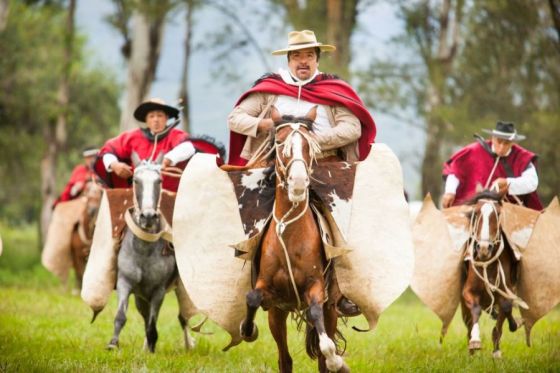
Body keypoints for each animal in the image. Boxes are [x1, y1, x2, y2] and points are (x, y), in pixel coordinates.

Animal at [107, 153, 195, 354]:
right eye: (135, 180)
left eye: (159, 180)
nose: (147, 216)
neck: (143, 250)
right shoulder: (125, 283)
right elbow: (121, 315)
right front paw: (113, 343)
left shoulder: (158, 291)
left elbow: (152, 324)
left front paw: (152, 347)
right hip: (141, 297)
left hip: (179, 288)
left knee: (183, 317)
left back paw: (188, 344)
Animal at [238, 107, 348, 372]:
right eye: (279, 142)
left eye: (311, 145)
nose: (298, 182)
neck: (290, 236)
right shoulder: (270, 294)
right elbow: (252, 298)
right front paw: (247, 329)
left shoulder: (317, 288)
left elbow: (318, 321)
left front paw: (336, 359)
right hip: (277, 315)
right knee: (284, 359)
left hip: (331, 308)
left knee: (322, 353)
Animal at [460, 189, 524, 358]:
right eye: (475, 213)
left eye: (499, 214)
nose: (483, 248)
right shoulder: (468, 291)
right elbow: (475, 309)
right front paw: (475, 341)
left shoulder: (505, 292)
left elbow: (505, 309)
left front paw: (496, 352)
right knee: (468, 324)